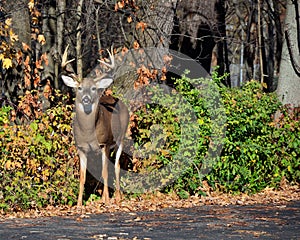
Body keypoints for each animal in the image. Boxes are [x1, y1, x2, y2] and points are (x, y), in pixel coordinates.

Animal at [61, 46, 129, 205]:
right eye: (79, 88)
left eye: (93, 88)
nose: (86, 98)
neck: (88, 132)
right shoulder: (81, 148)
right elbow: (83, 177)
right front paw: (79, 204)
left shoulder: (104, 143)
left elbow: (104, 172)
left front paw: (107, 200)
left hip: (120, 138)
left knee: (116, 166)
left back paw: (117, 197)